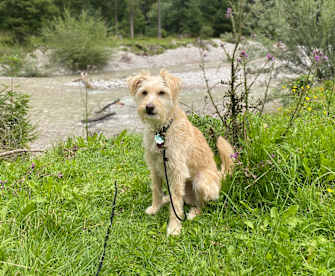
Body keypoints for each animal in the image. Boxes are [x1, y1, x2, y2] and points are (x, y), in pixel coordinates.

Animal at [127, 69, 235, 235]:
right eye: (144, 92)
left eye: (162, 93)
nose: (149, 107)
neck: (162, 130)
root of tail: (218, 175)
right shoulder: (155, 167)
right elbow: (156, 190)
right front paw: (155, 208)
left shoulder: (177, 171)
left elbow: (176, 202)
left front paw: (174, 227)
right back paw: (166, 200)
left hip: (201, 182)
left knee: (201, 204)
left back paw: (193, 213)